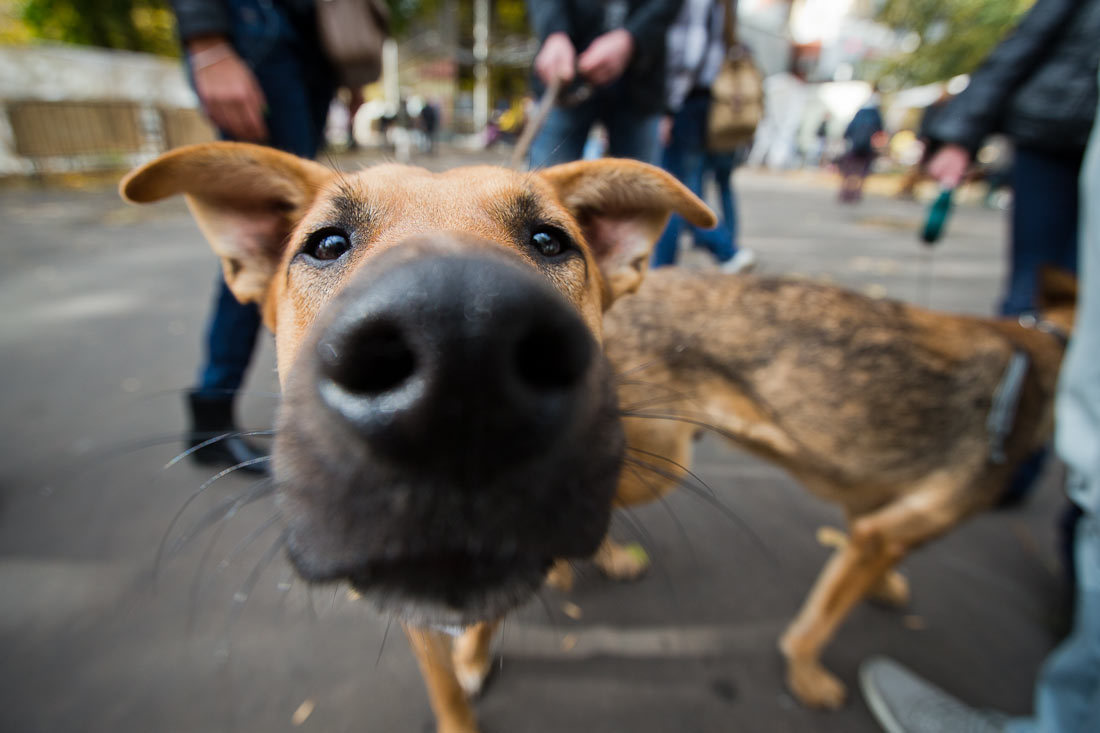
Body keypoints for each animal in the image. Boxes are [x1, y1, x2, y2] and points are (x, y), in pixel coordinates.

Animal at [598, 267, 1069, 708]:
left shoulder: (872, 513)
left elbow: (867, 569)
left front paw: (884, 586)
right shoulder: (882, 533)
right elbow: (818, 625)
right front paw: (807, 677)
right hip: (657, 466)